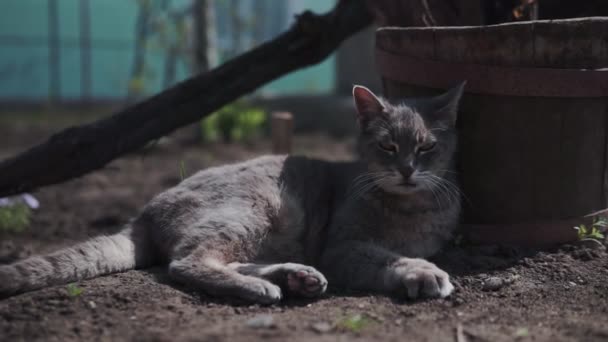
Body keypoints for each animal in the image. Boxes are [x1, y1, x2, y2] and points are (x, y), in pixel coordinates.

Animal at [1, 84, 466, 304]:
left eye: (426, 147)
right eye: (388, 147)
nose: (407, 170)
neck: (412, 208)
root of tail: (144, 212)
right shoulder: (343, 246)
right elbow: (385, 256)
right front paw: (421, 272)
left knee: (214, 258)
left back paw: (294, 277)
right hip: (257, 208)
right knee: (186, 262)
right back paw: (266, 287)